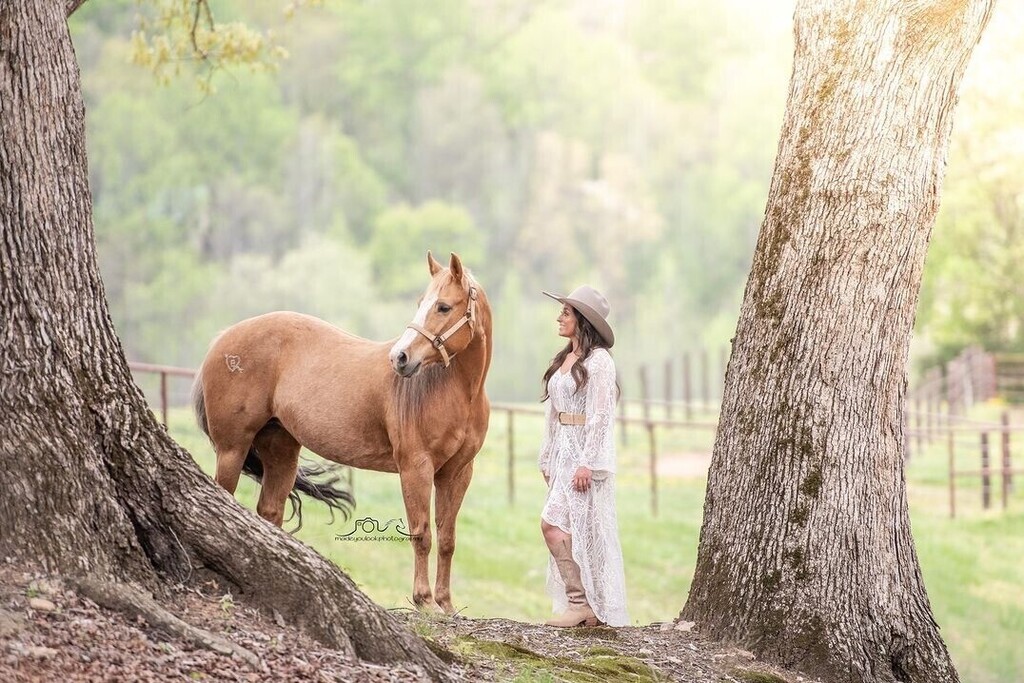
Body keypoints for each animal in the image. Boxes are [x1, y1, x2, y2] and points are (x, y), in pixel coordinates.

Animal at [195, 252, 495, 614]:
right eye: (421, 303)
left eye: (444, 307)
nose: (400, 357)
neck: (457, 393)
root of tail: (222, 339)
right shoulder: (415, 468)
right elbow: (422, 533)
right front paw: (424, 602)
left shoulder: (457, 473)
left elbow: (447, 538)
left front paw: (446, 605)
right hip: (232, 450)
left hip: (281, 451)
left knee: (269, 512)